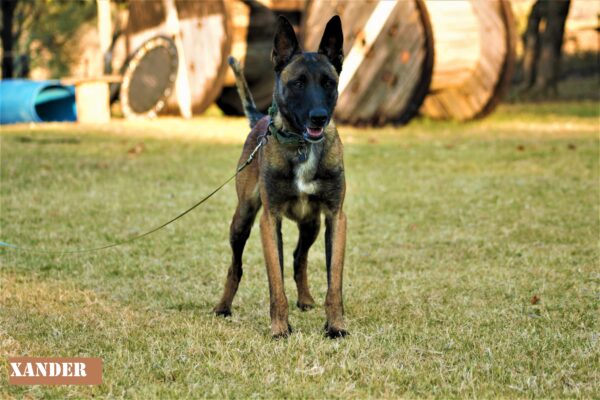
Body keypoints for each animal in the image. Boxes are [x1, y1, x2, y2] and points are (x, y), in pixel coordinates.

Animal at [214, 17, 346, 340]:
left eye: (328, 83)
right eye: (297, 83)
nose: (319, 117)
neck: (301, 147)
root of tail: (259, 119)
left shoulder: (335, 217)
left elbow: (333, 281)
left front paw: (335, 325)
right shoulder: (268, 220)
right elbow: (276, 281)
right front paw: (279, 328)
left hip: (311, 224)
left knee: (299, 257)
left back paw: (306, 299)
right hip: (242, 220)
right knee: (236, 266)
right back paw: (223, 306)